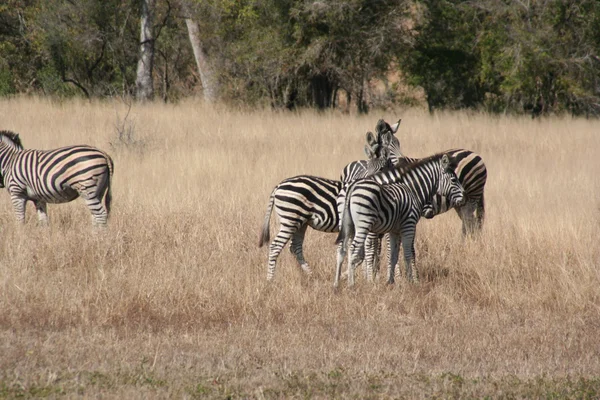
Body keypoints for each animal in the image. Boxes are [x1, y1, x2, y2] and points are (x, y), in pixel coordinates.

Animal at [255, 128, 400, 282]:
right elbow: (373, 252)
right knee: (276, 246)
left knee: (295, 247)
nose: (365, 182)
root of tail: (278, 185)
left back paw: (310, 275)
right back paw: (270, 280)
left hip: (301, 222)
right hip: (290, 219)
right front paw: (369, 277)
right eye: (368, 167)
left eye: (381, 168)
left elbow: (377, 252)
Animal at [336, 153, 466, 288]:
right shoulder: (408, 225)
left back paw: (338, 283)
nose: (464, 198)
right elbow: (407, 253)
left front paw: (391, 281)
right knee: (359, 249)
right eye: (454, 180)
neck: (411, 189)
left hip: (347, 224)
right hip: (365, 224)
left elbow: (394, 254)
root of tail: (351, 186)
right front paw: (411, 281)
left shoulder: (394, 229)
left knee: (343, 250)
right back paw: (356, 283)